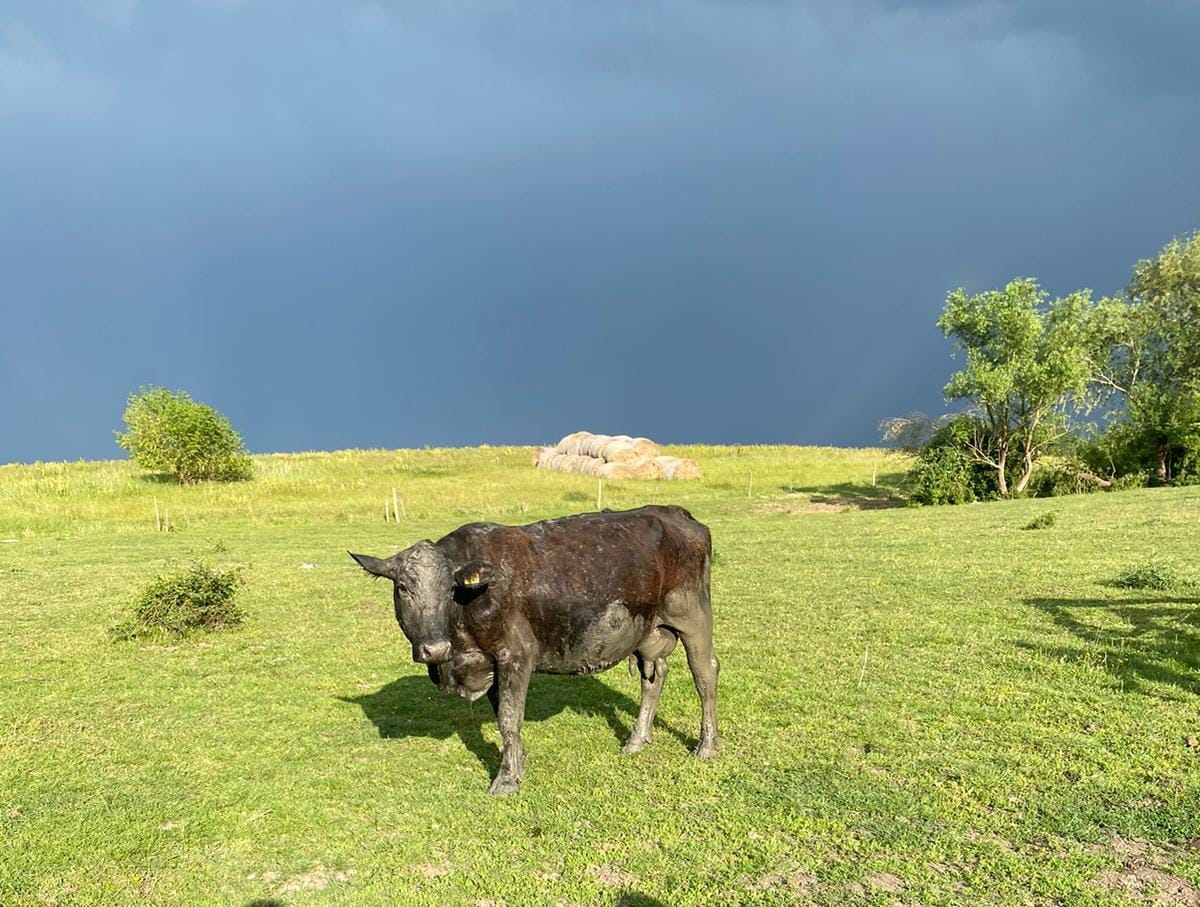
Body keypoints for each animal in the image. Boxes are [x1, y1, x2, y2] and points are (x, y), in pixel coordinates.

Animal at [349, 504, 718, 795]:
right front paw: (518, 759)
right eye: (403, 587)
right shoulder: (491, 664)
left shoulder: (516, 655)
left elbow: (509, 717)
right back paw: (637, 740)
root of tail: (675, 513)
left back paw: (706, 745)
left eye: (450, 589)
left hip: (693, 617)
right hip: (647, 632)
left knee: (705, 675)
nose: (435, 647)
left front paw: (506, 779)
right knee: (653, 679)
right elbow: (501, 713)